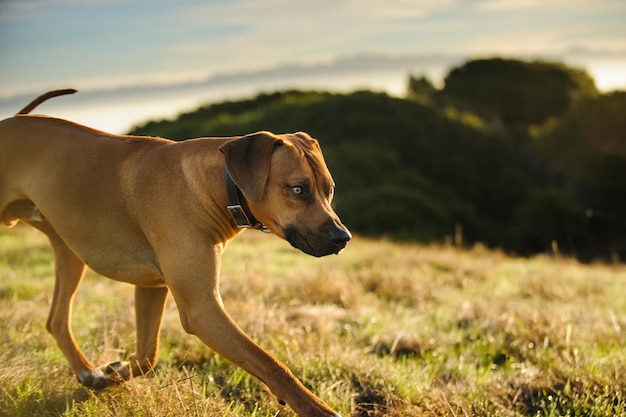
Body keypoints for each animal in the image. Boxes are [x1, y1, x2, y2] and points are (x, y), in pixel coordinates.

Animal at [0, 90, 352, 416]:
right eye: (298, 189)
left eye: (330, 190)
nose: (343, 238)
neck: (213, 185)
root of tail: (13, 120)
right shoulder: (203, 309)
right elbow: (270, 363)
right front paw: (316, 408)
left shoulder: (152, 287)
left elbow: (147, 356)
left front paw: (113, 373)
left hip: (68, 250)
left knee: (56, 320)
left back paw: (88, 372)